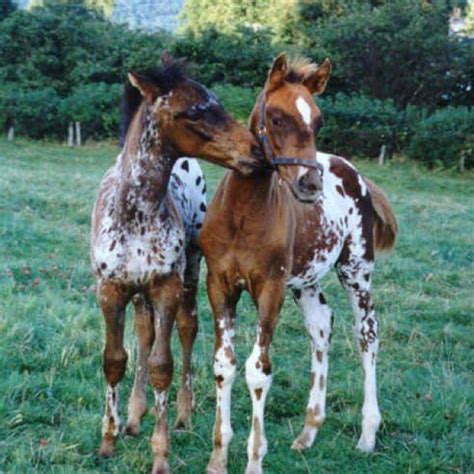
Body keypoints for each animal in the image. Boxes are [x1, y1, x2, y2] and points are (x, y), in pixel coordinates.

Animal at [90, 53, 264, 472]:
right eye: (194, 112)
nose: (256, 151)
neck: (135, 215)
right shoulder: (111, 290)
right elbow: (115, 359)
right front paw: (108, 440)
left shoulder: (166, 287)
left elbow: (162, 365)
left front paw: (161, 454)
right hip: (138, 293)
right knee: (143, 331)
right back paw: (134, 416)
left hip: (190, 273)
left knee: (186, 329)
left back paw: (182, 415)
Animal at [199, 53, 396, 472]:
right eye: (275, 117)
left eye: (318, 121)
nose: (309, 185)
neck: (243, 215)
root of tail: (355, 173)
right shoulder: (219, 284)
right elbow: (224, 364)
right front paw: (218, 457)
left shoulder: (270, 288)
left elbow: (258, 371)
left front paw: (254, 460)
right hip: (306, 281)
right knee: (321, 327)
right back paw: (309, 431)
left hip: (356, 271)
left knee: (367, 333)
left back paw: (368, 434)